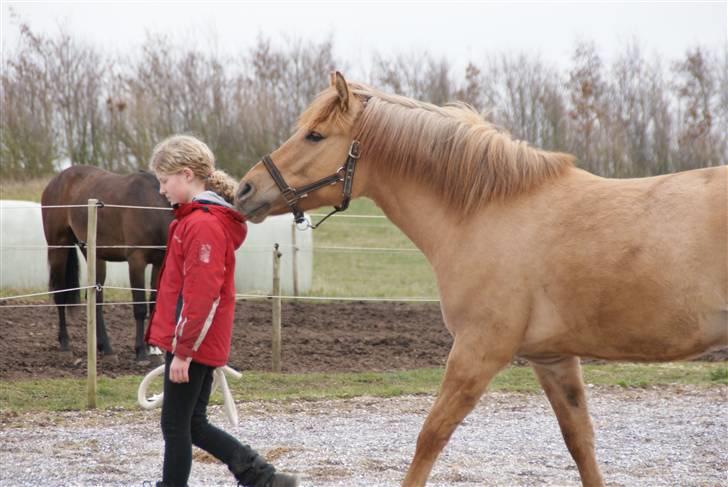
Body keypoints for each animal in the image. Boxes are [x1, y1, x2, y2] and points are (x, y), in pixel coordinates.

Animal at [42, 166, 172, 360]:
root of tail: (56, 180)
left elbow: (154, 304)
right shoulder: (136, 261)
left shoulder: (159, 262)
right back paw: (65, 343)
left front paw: (152, 348)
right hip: (58, 247)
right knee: (60, 294)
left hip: (93, 254)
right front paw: (141, 352)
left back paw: (106, 347)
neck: (153, 208)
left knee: (96, 299)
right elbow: (140, 307)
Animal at [236, 73, 724, 487]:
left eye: (315, 135)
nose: (244, 189)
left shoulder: (477, 351)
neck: (486, 211)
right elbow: (580, 442)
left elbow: (430, 436)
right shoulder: (552, 358)